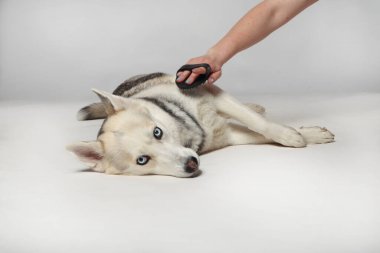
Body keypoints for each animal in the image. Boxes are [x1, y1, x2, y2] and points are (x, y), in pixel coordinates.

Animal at [67, 72, 334, 177]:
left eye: (157, 132)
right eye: (142, 160)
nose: (191, 163)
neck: (192, 130)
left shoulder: (214, 94)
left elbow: (258, 122)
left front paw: (296, 135)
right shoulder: (229, 136)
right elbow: (257, 132)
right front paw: (302, 134)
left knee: (249, 110)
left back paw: (255, 106)